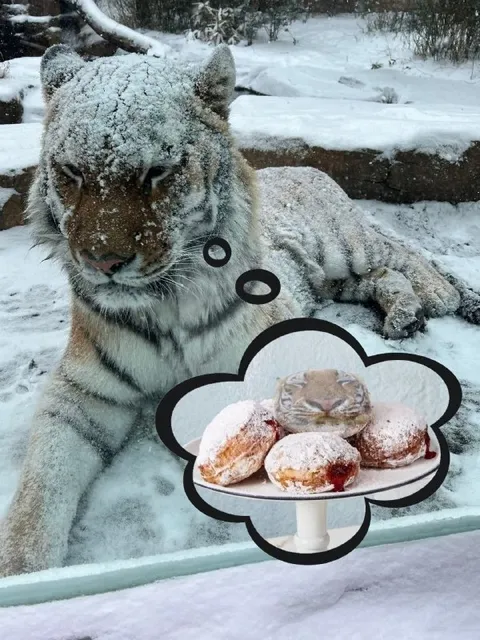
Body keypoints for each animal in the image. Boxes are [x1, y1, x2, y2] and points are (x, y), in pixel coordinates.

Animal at [0, 42, 478, 577]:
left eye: (157, 172)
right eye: (73, 172)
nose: (102, 260)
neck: (166, 304)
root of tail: (308, 168)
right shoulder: (84, 394)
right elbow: (42, 483)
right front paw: (22, 571)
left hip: (346, 245)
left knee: (412, 263)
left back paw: (431, 302)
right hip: (336, 277)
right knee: (383, 277)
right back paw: (402, 316)